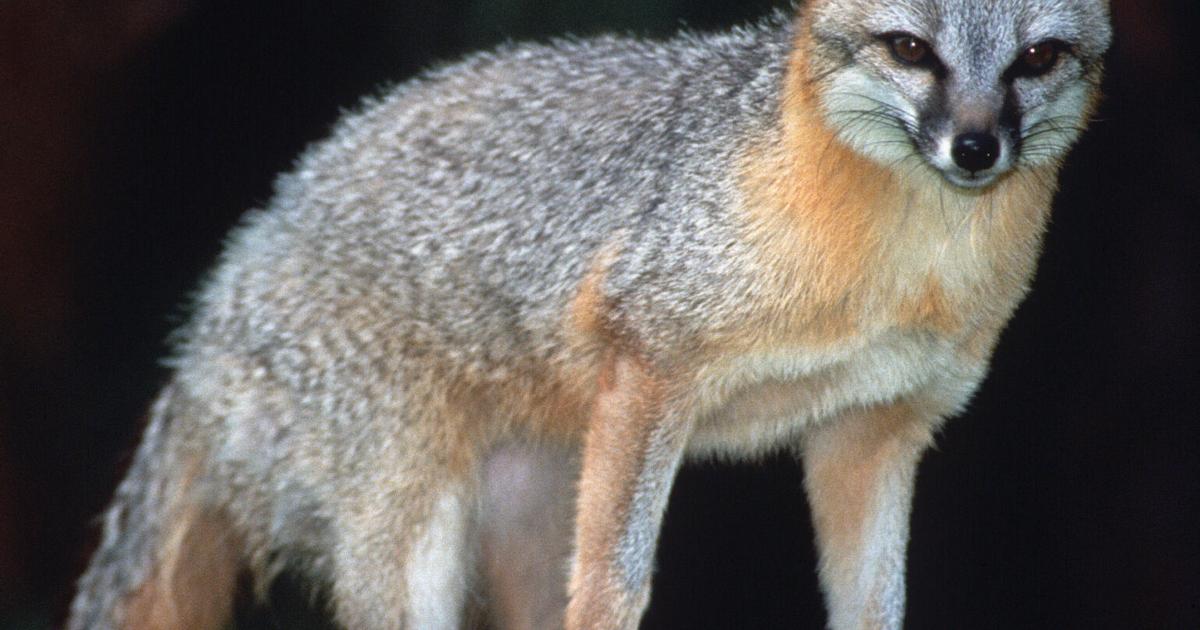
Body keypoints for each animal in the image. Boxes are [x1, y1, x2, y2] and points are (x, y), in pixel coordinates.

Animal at [68, 1, 1112, 629]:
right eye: (910, 50)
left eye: (1037, 58)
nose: (974, 148)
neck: (901, 270)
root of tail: (217, 300)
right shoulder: (648, 367)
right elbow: (616, 582)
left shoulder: (871, 429)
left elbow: (874, 600)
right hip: (416, 535)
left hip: (529, 510)